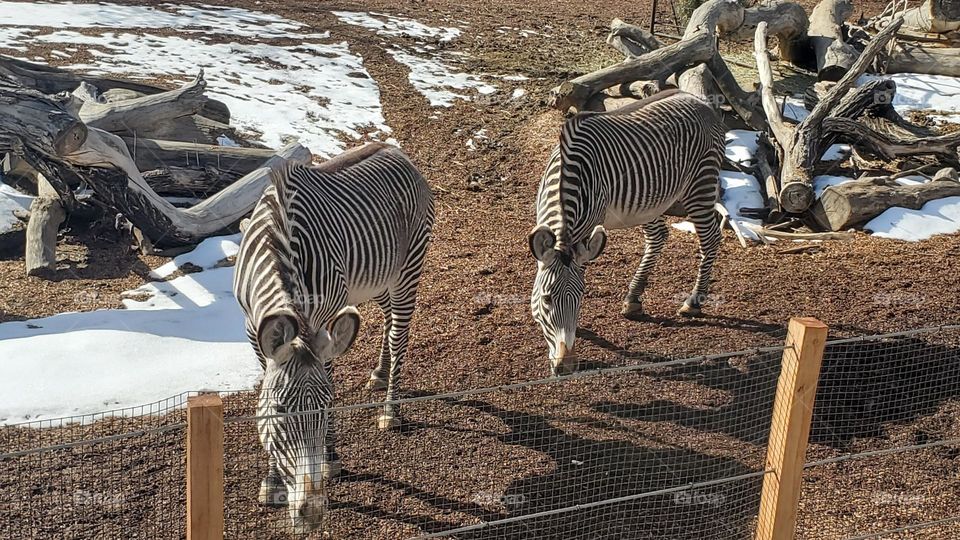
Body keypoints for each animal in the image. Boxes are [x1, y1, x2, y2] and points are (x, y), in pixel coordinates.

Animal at [232, 142, 434, 534]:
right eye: (279, 410)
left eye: (326, 408)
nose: (311, 511)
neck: (279, 240)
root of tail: (393, 148)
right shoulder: (251, 327)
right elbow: (266, 383)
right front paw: (272, 481)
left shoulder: (323, 319)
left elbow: (328, 377)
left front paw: (330, 457)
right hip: (375, 280)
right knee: (387, 319)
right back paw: (378, 374)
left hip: (407, 270)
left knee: (399, 334)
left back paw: (390, 409)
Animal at [529, 89, 725, 376]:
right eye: (546, 300)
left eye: (580, 299)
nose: (567, 366)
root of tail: (698, 98)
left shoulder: (588, 230)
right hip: (651, 202)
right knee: (659, 236)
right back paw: (633, 299)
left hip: (701, 183)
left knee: (711, 237)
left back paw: (694, 301)